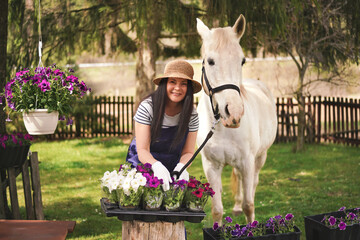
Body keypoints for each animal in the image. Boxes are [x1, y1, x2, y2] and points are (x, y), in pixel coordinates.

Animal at [195, 14, 278, 223]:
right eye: (210, 61)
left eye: (242, 61)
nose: (234, 112)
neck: (222, 129)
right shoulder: (211, 167)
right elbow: (217, 209)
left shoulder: (247, 162)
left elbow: (250, 205)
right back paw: (237, 206)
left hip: (260, 157)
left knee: (253, 183)